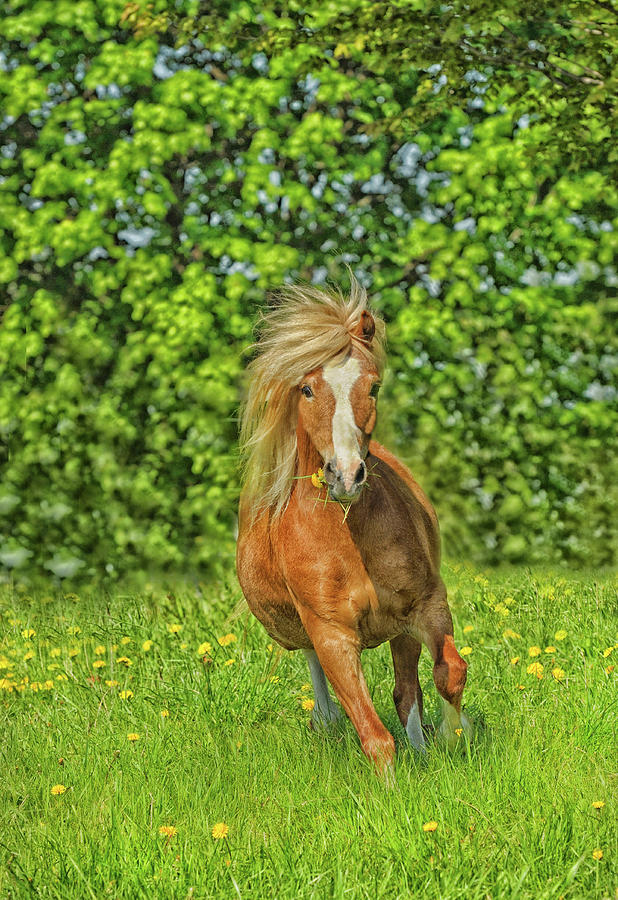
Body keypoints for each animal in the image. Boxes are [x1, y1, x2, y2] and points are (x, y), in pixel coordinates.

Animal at [236, 282, 466, 772]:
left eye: (373, 385)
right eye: (306, 388)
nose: (346, 475)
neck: (349, 537)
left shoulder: (425, 605)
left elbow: (449, 674)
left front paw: (457, 740)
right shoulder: (332, 635)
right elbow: (374, 735)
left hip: (399, 629)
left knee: (407, 692)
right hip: (306, 634)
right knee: (330, 699)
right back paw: (327, 722)